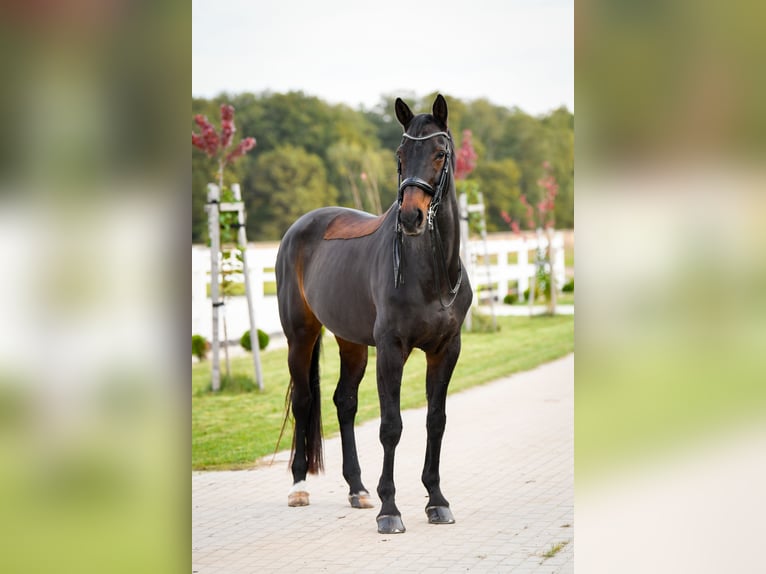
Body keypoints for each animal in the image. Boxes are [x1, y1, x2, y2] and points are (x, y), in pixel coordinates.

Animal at [272, 94, 472, 536]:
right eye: (400, 154)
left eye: (440, 153)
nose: (411, 217)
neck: (429, 272)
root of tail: (299, 226)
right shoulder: (392, 349)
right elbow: (391, 426)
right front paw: (390, 510)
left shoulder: (446, 350)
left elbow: (436, 420)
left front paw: (437, 501)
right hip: (300, 336)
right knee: (305, 401)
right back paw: (298, 487)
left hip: (351, 342)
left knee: (343, 402)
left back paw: (357, 489)